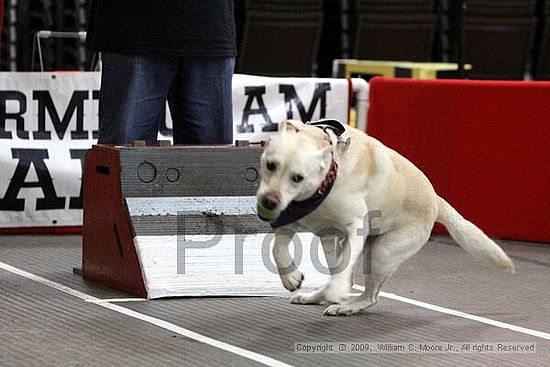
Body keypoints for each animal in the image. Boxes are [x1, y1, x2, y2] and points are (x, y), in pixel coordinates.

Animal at [256, 119, 516, 318]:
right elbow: (277, 249)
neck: (328, 178)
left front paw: (330, 290)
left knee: (369, 294)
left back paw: (346, 306)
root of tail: (435, 199)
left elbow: (341, 272)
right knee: (345, 279)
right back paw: (313, 296)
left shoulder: (355, 228)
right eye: (270, 165)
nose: (269, 202)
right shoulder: (291, 219)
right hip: (345, 247)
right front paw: (291, 278)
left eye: (297, 177)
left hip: (381, 253)